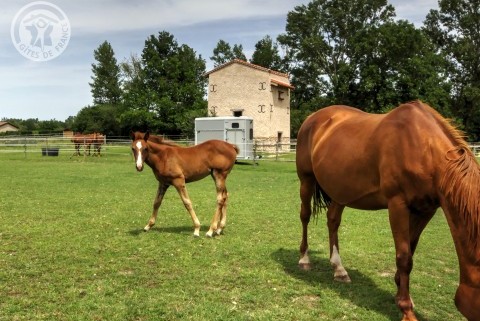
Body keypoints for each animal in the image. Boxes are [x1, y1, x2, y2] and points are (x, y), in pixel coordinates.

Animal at [296, 100, 480, 320]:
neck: (423, 147)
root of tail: (312, 119)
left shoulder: (426, 210)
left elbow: (411, 250)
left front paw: (401, 293)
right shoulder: (397, 205)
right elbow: (404, 257)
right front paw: (406, 309)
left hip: (340, 190)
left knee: (332, 220)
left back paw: (339, 269)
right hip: (306, 180)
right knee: (305, 216)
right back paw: (304, 259)